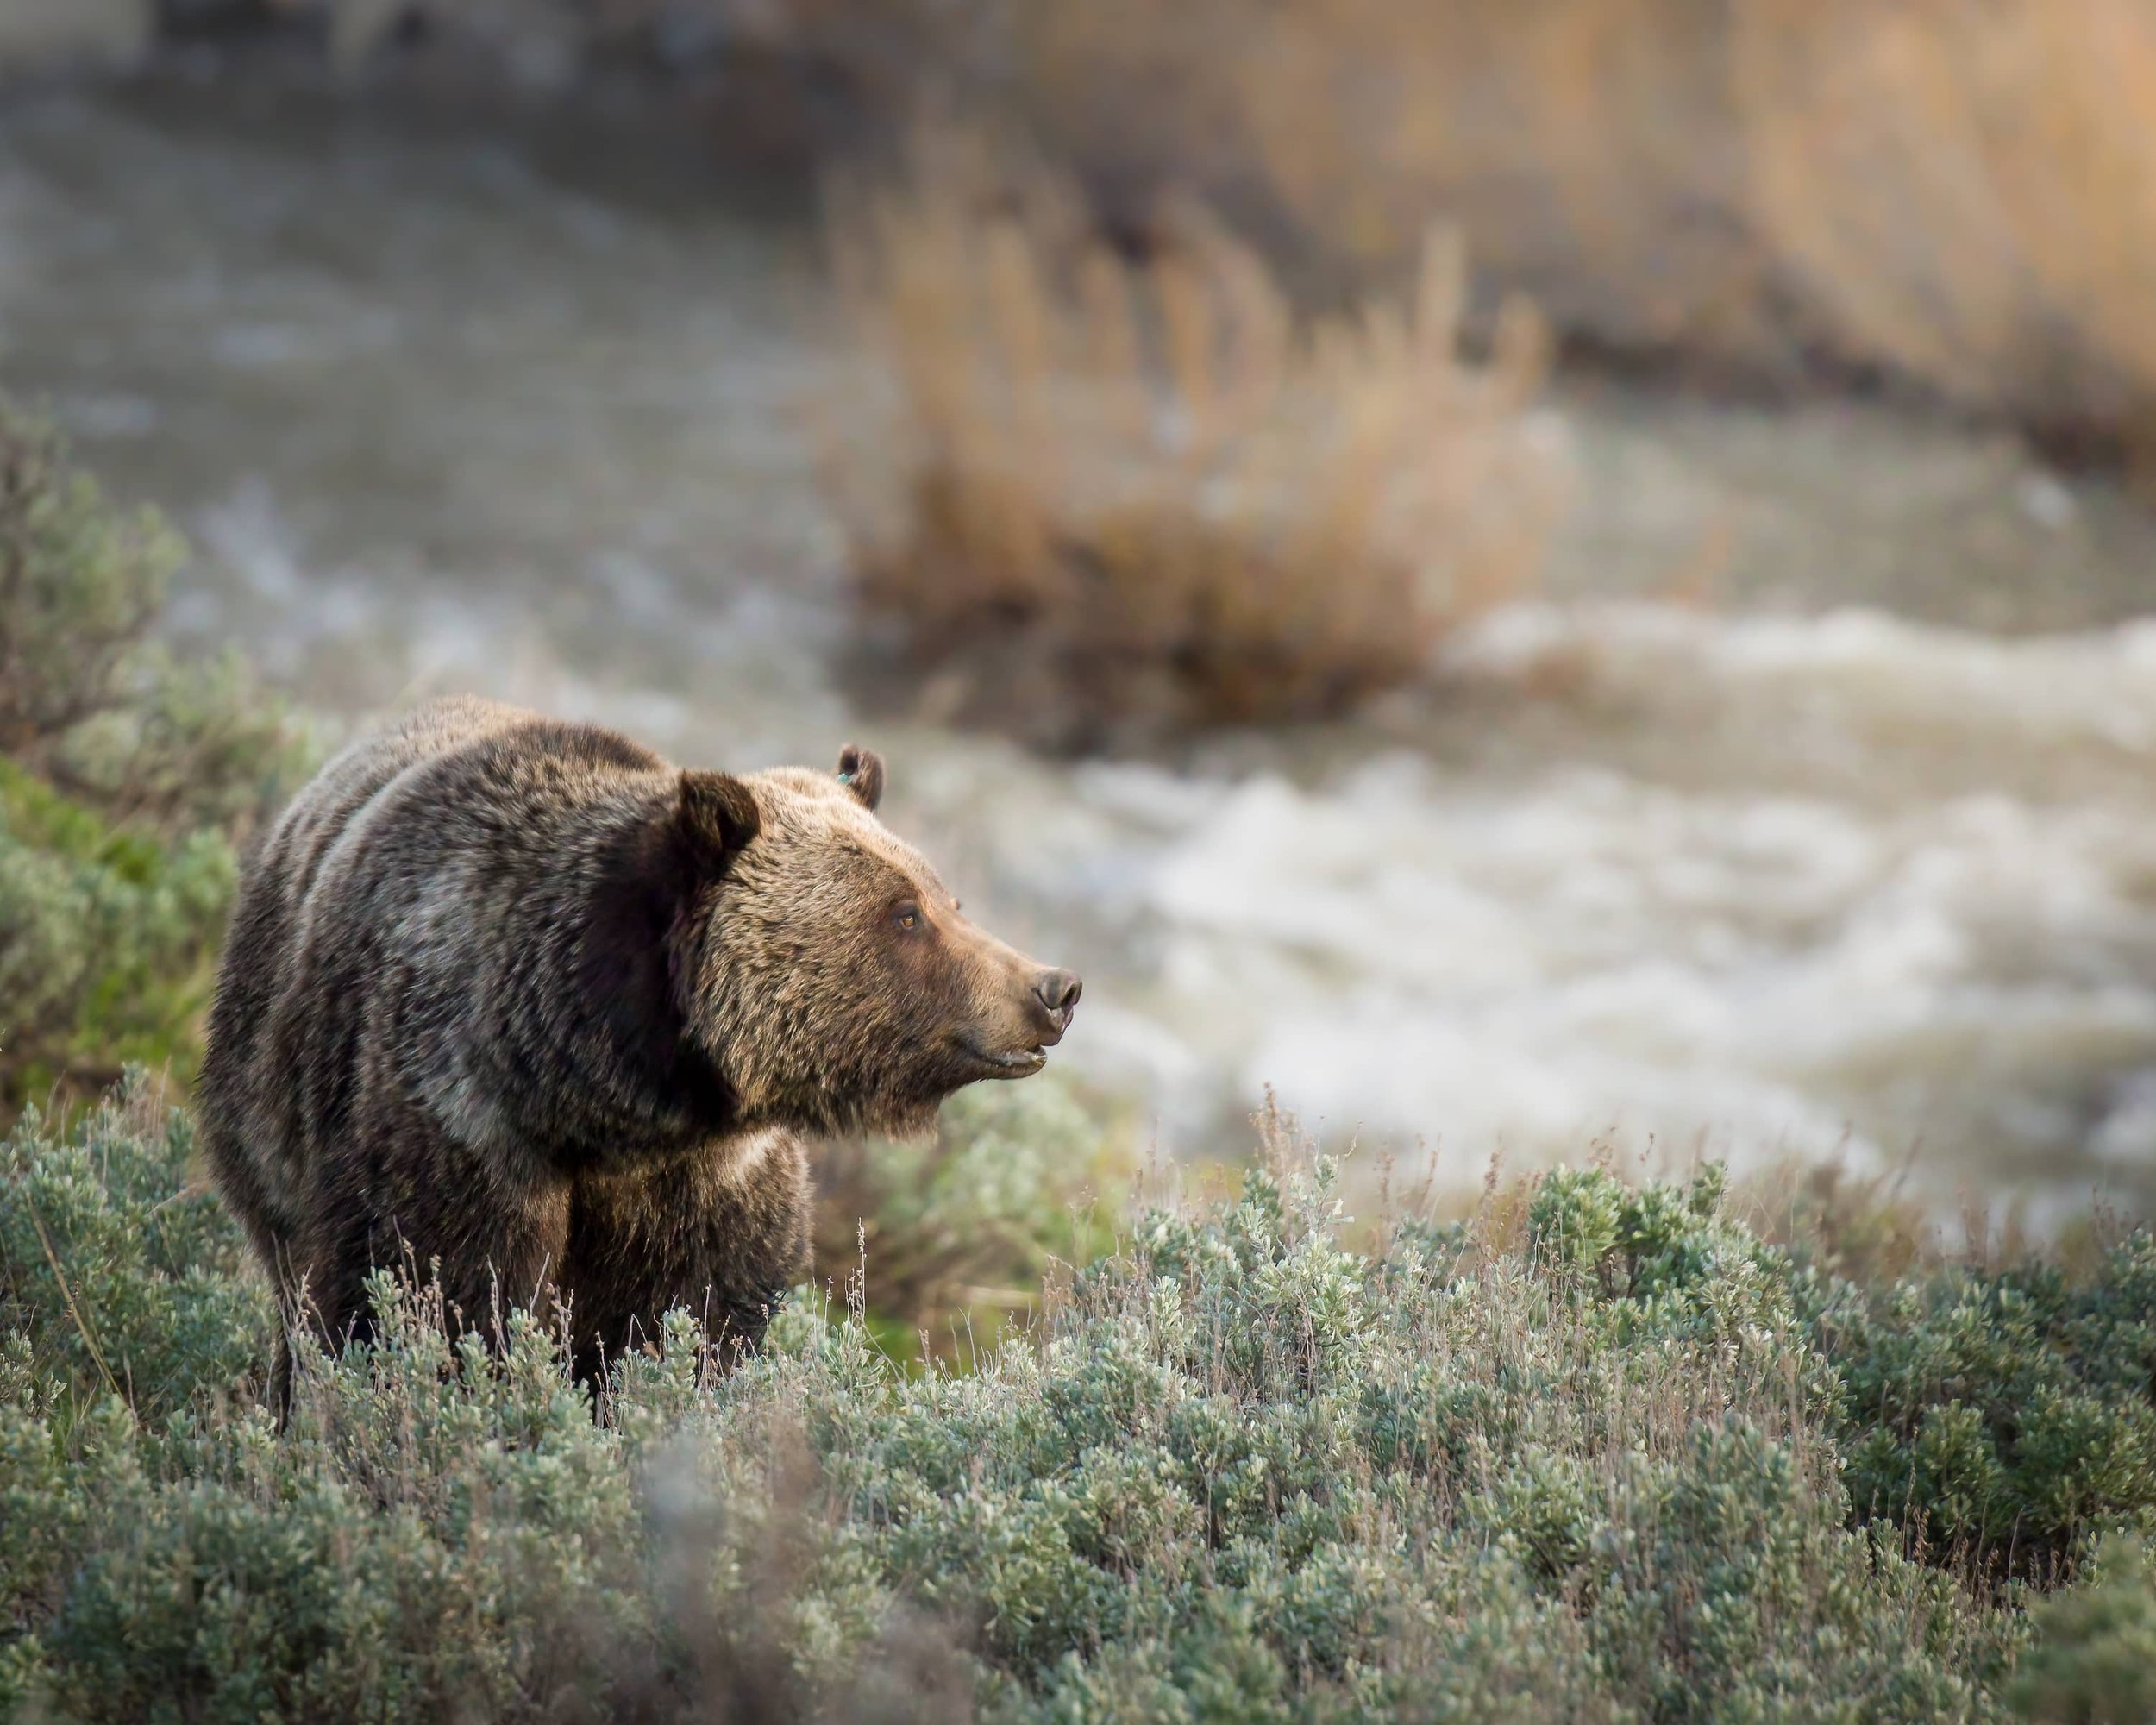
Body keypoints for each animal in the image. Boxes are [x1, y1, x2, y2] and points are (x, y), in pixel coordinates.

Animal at [197, 695, 1080, 1407]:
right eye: (904, 914)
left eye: (945, 899)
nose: (1053, 989)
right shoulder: (459, 1121)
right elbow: (432, 1295)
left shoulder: (709, 1180)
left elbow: (688, 1322)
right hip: (266, 1105)